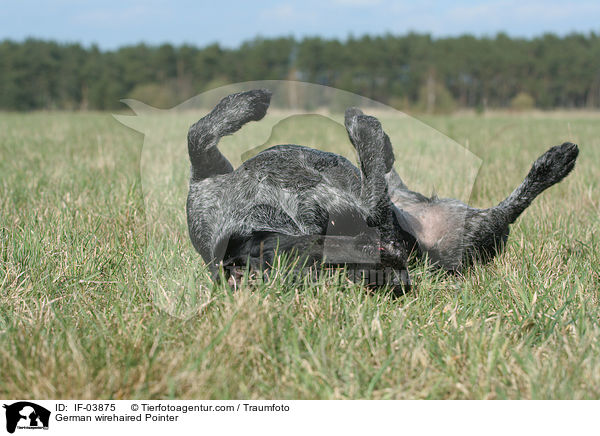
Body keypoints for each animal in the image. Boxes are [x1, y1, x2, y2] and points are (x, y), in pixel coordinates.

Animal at [185, 88, 580, 292]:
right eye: (328, 268)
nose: (402, 277)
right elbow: (373, 190)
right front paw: (366, 130)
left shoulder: (207, 178)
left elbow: (198, 133)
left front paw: (249, 102)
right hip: (474, 231)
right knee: (512, 206)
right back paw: (555, 163)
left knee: (389, 176)